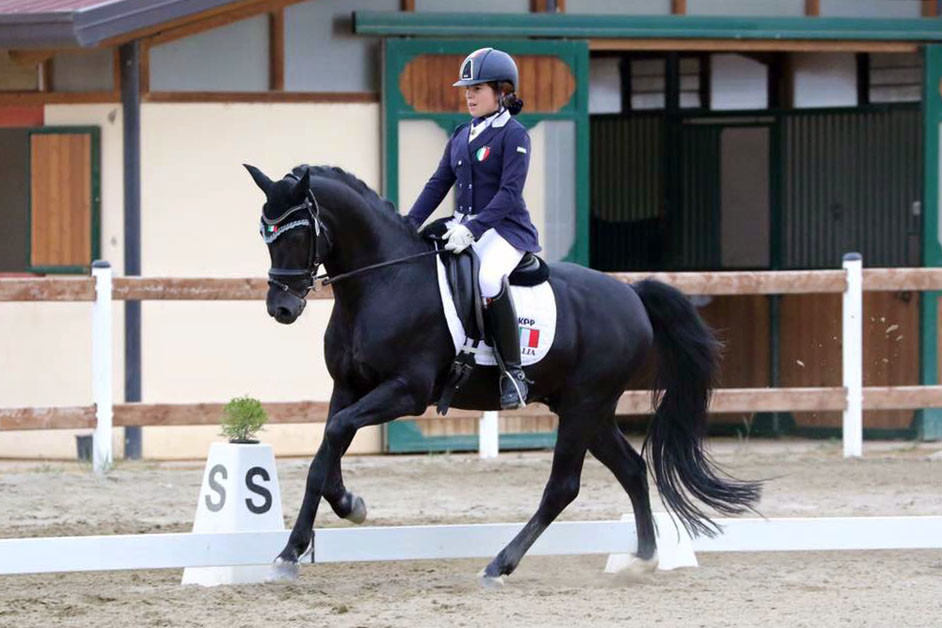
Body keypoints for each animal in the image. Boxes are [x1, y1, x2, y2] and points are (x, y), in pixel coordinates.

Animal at [245, 163, 761, 584]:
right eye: (265, 235)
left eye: (297, 234)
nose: (281, 308)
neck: (385, 281)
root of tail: (632, 294)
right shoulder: (349, 386)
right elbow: (325, 449)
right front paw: (307, 537)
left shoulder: (406, 392)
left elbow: (335, 434)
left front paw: (338, 514)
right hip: (587, 409)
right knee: (632, 469)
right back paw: (642, 559)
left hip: (584, 406)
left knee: (563, 488)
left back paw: (500, 565)